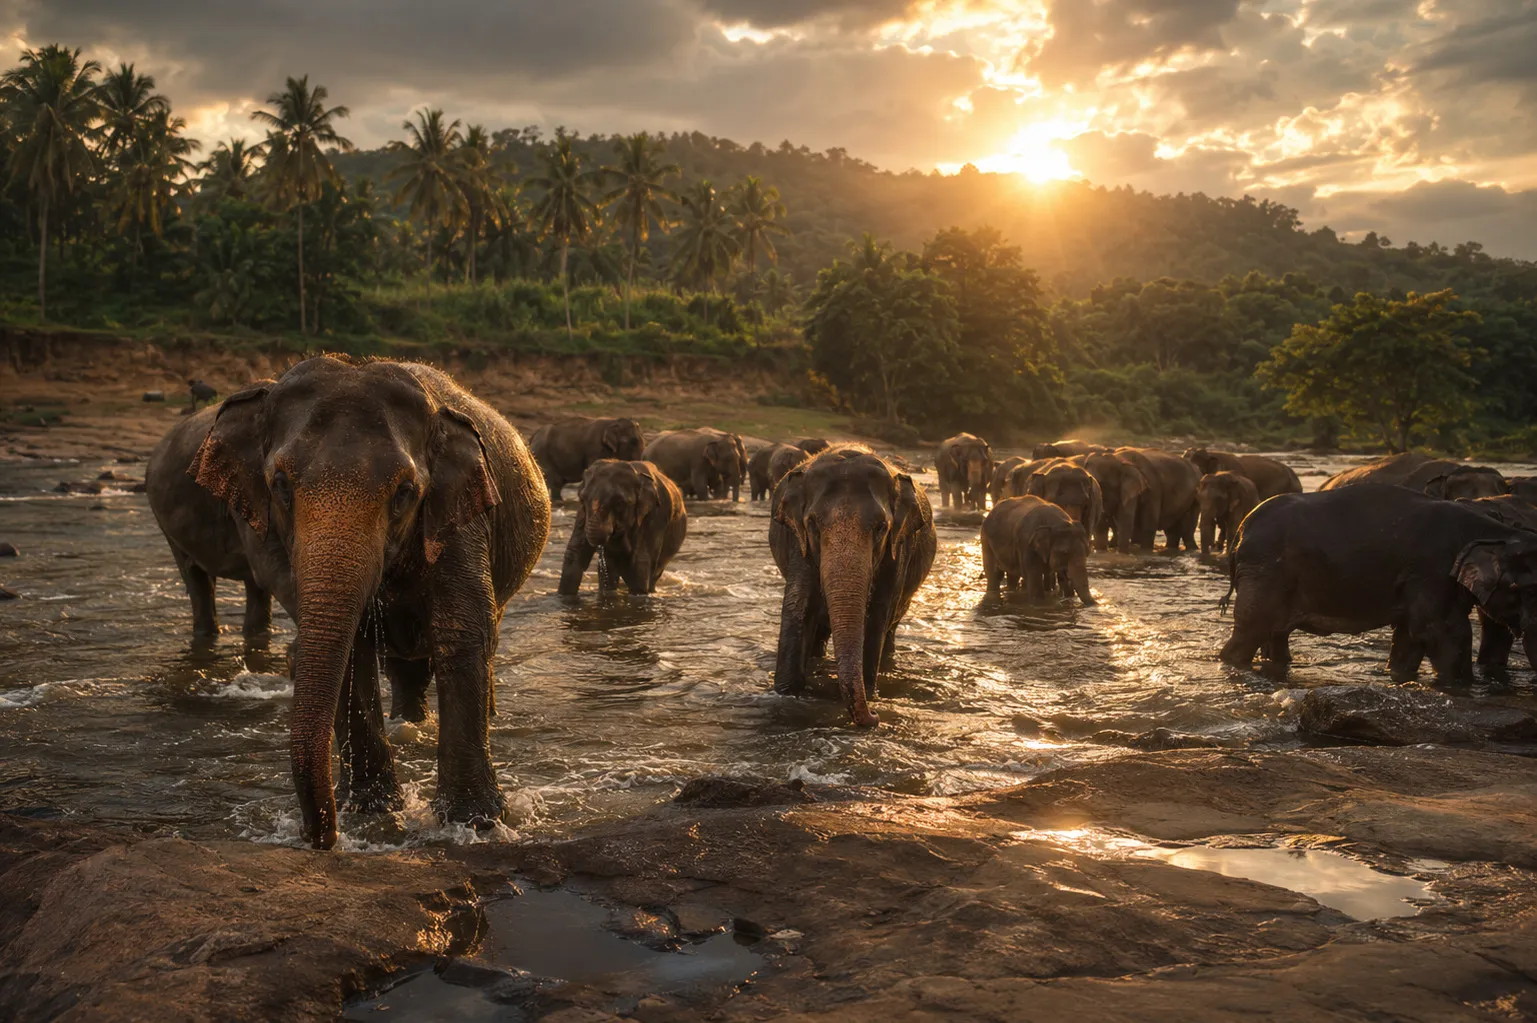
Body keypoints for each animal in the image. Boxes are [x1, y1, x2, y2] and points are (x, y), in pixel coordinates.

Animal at [186, 355, 551, 849]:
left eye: (404, 493)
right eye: (280, 484)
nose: (317, 835)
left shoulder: (460, 518)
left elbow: (461, 631)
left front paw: (475, 824)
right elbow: (350, 648)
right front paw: (369, 811)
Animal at [558, 459, 687, 595]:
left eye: (620, 503)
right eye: (582, 499)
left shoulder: (656, 516)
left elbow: (640, 563)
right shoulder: (582, 514)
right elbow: (575, 552)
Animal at [769, 446, 936, 727]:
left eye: (881, 527)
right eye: (812, 524)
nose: (875, 715)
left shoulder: (897, 551)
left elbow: (876, 615)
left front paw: (867, 694)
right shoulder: (798, 544)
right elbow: (797, 605)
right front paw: (785, 695)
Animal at [1219, 483, 1537, 681]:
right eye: (1523, 590)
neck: (1491, 528)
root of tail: (1242, 530)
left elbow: (1409, 636)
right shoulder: (1431, 573)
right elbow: (1443, 631)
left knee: (1274, 634)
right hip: (1264, 571)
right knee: (1252, 629)